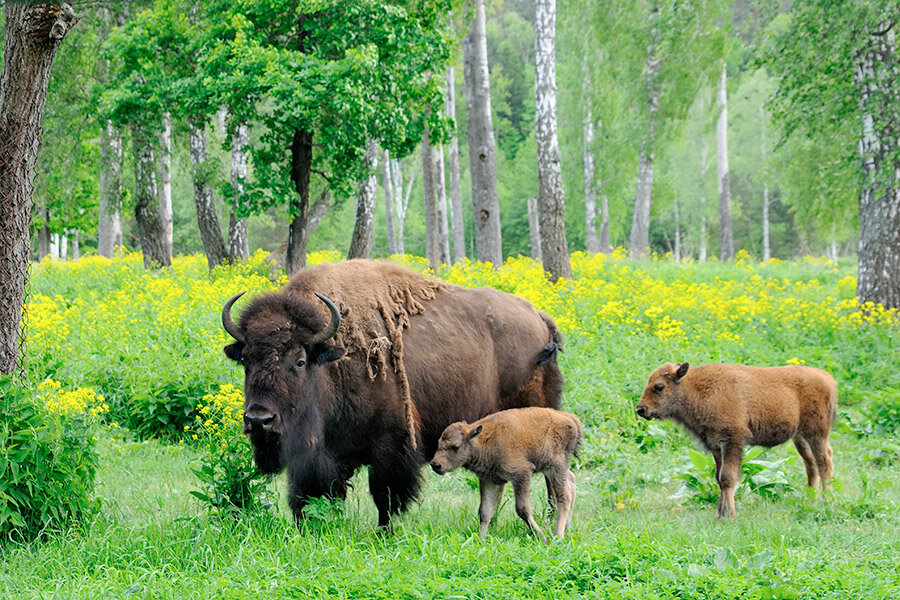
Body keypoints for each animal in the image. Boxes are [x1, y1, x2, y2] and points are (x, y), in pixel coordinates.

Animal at [221, 260, 564, 528]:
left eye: (300, 361)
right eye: (246, 361)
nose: (259, 419)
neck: (332, 361)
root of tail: (539, 316)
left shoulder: (391, 445)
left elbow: (384, 495)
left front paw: (385, 531)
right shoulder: (317, 456)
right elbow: (310, 495)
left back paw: (549, 519)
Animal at [430, 408, 584, 544]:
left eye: (455, 447)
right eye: (438, 443)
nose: (436, 464)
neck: (482, 440)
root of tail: (570, 418)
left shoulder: (521, 475)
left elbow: (522, 509)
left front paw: (542, 538)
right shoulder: (489, 480)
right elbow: (485, 511)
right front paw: (481, 540)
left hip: (555, 466)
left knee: (564, 497)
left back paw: (558, 536)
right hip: (553, 468)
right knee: (571, 482)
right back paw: (568, 530)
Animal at [632, 360, 836, 520]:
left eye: (659, 387)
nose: (641, 409)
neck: (696, 388)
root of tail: (827, 378)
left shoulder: (733, 442)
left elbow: (727, 478)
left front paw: (729, 516)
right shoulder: (716, 446)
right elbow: (718, 478)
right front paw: (720, 514)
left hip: (816, 433)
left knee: (824, 461)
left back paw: (826, 501)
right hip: (799, 436)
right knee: (811, 465)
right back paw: (811, 499)